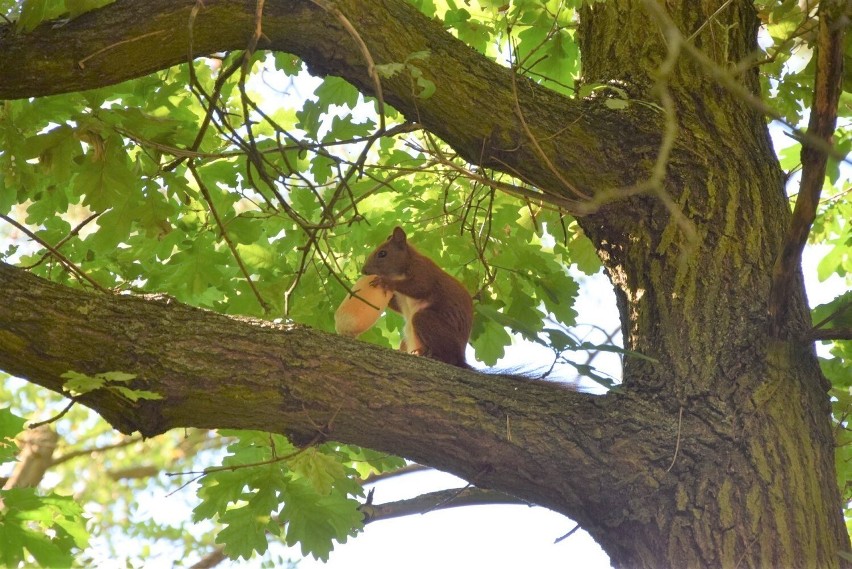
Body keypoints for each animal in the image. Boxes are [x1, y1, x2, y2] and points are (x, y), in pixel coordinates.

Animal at [360, 226, 472, 368]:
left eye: (382, 253)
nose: (363, 271)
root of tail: (461, 357)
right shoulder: (400, 299)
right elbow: (397, 305)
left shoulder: (424, 271)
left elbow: (420, 287)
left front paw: (385, 281)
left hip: (429, 324)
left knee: (450, 357)